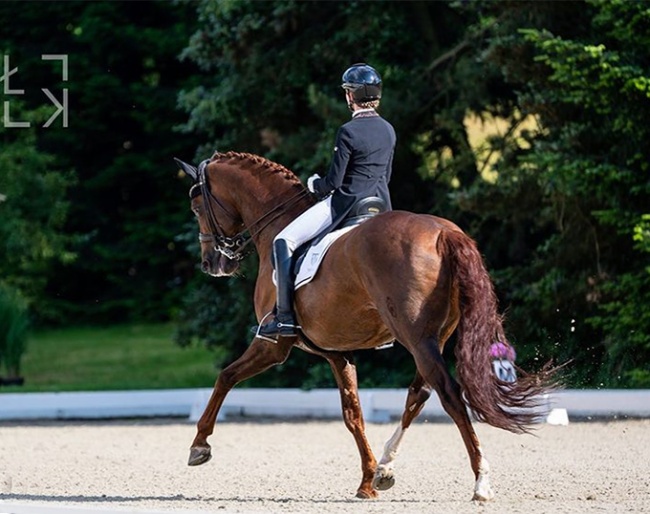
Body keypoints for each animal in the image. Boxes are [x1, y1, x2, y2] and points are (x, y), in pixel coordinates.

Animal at [177, 150, 552, 498]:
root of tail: (443, 232)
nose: (212, 263)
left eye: (196, 208)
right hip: (435, 337)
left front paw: (199, 446)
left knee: (449, 395)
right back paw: (386, 465)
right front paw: (368, 481)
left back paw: (480, 482)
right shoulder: (336, 352)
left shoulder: (273, 345)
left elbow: (226, 376)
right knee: (419, 394)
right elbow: (353, 413)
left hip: (417, 339)